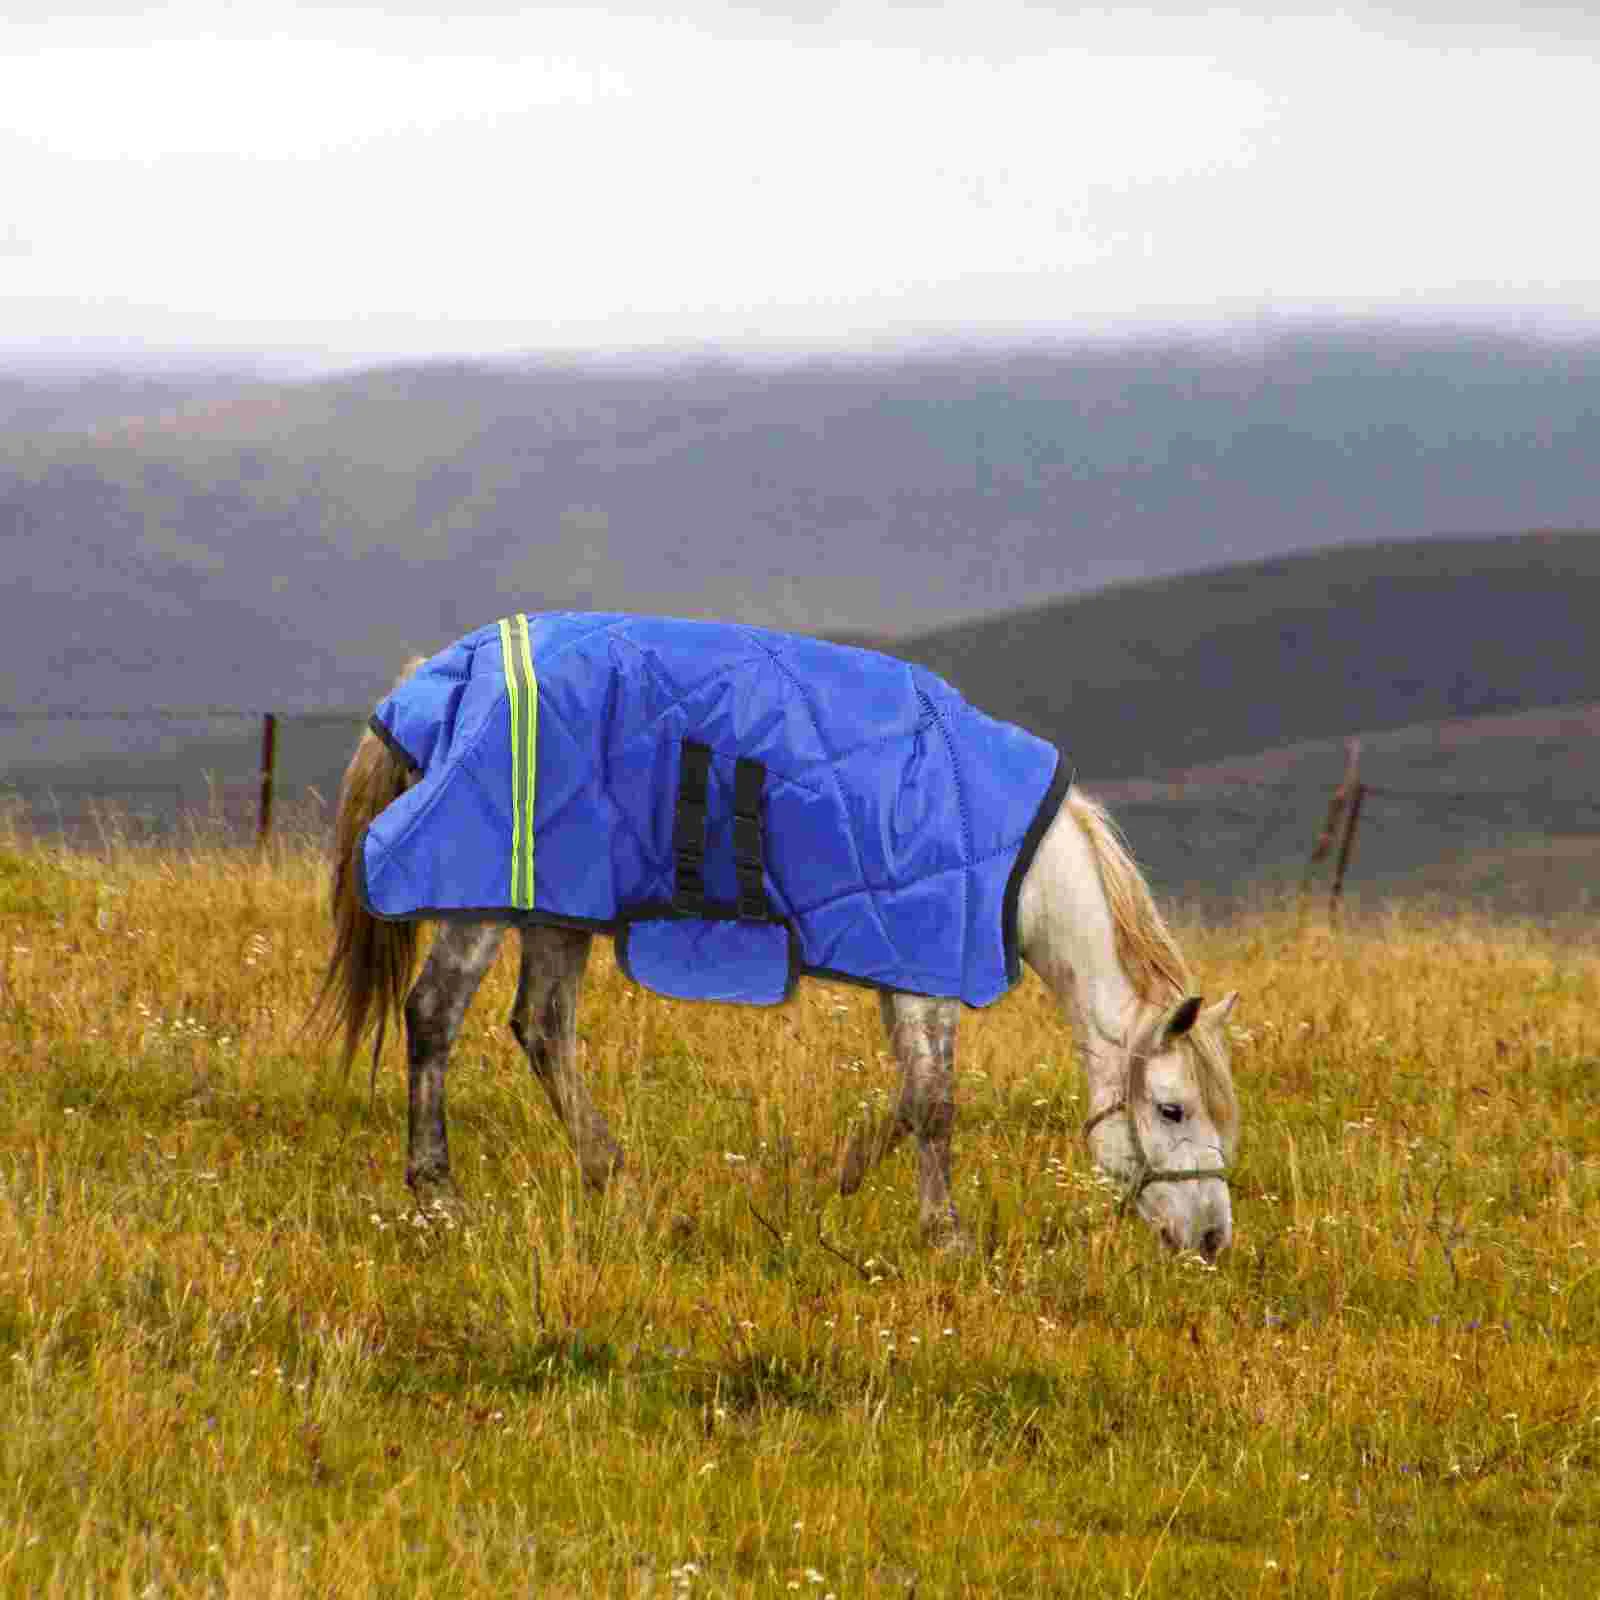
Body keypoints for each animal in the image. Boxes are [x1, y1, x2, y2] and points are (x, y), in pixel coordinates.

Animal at [312, 611, 1235, 1248]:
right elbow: (935, 1102)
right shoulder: (927, 963)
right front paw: (942, 1232)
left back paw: (612, 1178)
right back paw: (438, 1191)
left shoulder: (902, 967)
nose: (1213, 1240)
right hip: (481, 893)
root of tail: (438, 676)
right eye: (1174, 1109)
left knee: (542, 1027)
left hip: (558, 897)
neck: (1012, 854)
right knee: (435, 1016)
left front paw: (842, 1179)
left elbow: (909, 1094)